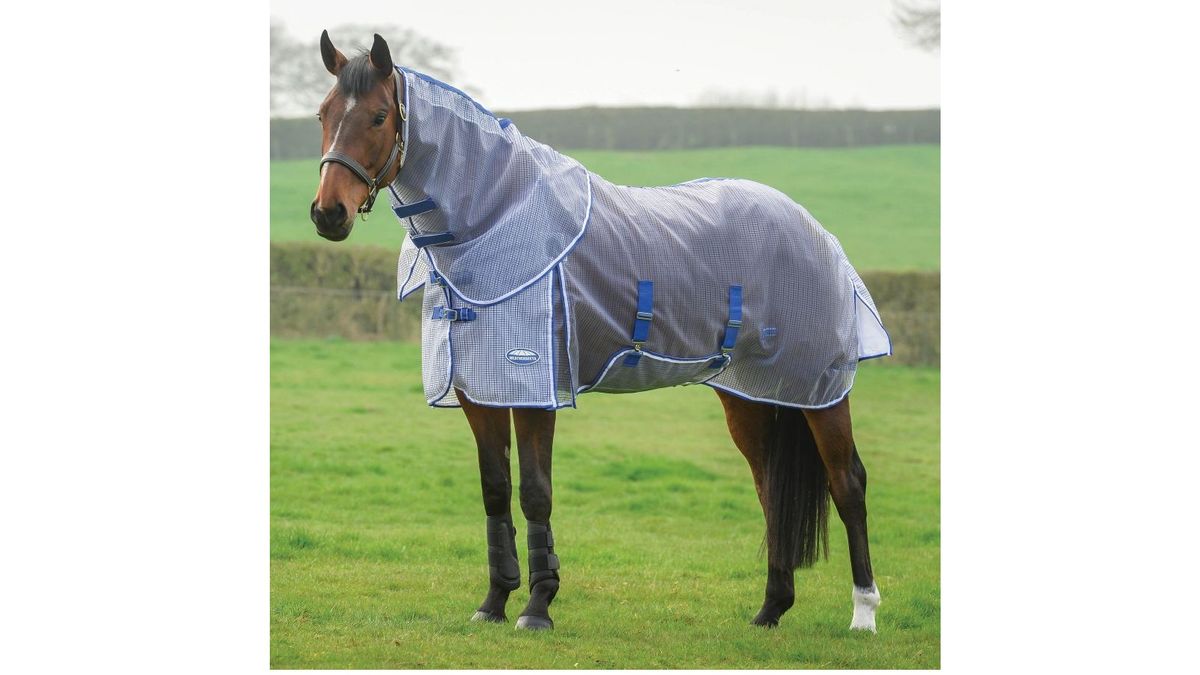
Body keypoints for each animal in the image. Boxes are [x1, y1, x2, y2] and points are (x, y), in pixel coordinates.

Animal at [309, 31, 886, 633]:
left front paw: (538, 608)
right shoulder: (479, 392)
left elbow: (535, 494)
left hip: (819, 390)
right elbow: (495, 492)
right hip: (750, 394)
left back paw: (863, 614)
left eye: (379, 116)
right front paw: (493, 603)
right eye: (323, 113)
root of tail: (815, 230)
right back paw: (770, 610)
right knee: (770, 487)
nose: (328, 213)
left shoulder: (536, 392)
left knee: (847, 483)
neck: (495, 221)